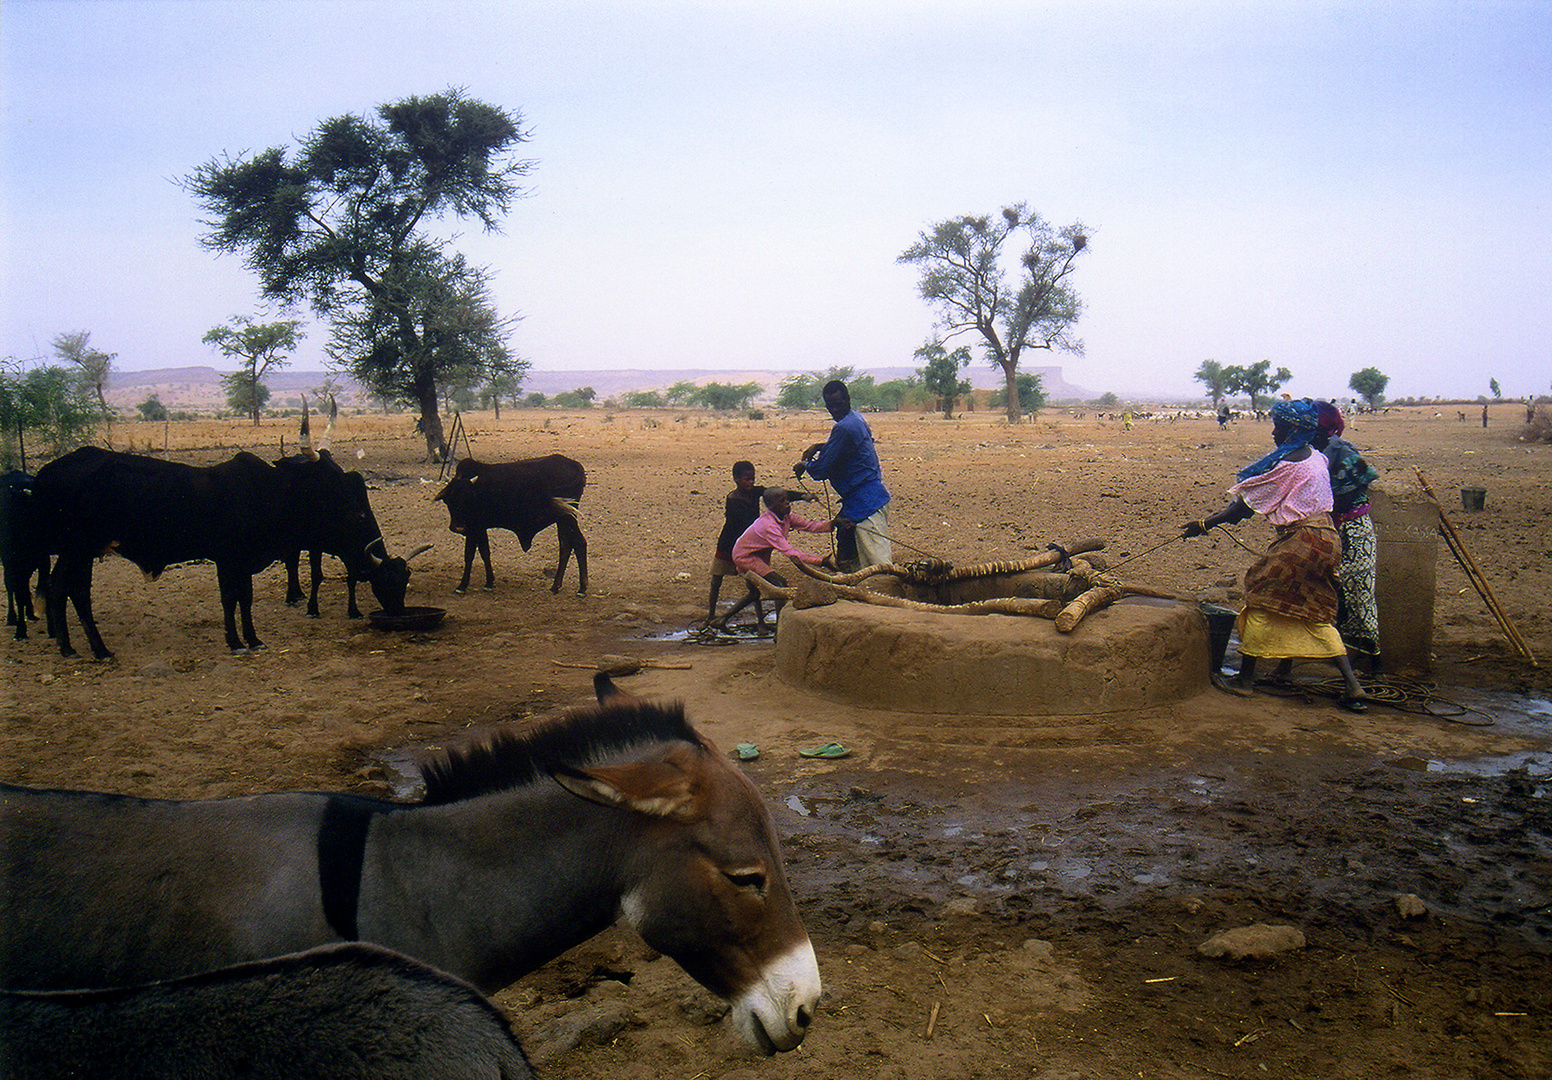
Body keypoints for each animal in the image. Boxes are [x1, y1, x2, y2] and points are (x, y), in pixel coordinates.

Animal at [1, 468, 50, 636]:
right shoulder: (14, 564)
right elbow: (18, 594)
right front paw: (20, 630)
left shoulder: (44, 561)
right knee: (11, 586)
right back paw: (12, 617)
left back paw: (30, 612)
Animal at [34, 431, 415, 657]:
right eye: (329, 476)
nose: (358, 509)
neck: (268, 492)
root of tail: (44, 473)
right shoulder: (228, 558)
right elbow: (231, 599)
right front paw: (237, 642)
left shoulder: (240, 561)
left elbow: (242, 599)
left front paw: (252, 639)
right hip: (78, 549)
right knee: (66, 589)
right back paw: (87, 649)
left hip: (80, 551)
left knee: (67, 590)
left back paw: (79, 647)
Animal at [434, 450, 583, 595]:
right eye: (449, 500)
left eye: (467, 500)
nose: (458, 527)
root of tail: (573, 464)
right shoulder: (479, 529)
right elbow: (484, 552)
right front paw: (489, 582)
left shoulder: (474, 528)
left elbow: (470, 555)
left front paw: (462, 586)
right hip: (564, 520)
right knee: (566, 546)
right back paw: (556, 586)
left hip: (568, 519)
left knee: (578, 543)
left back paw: (581, 589)